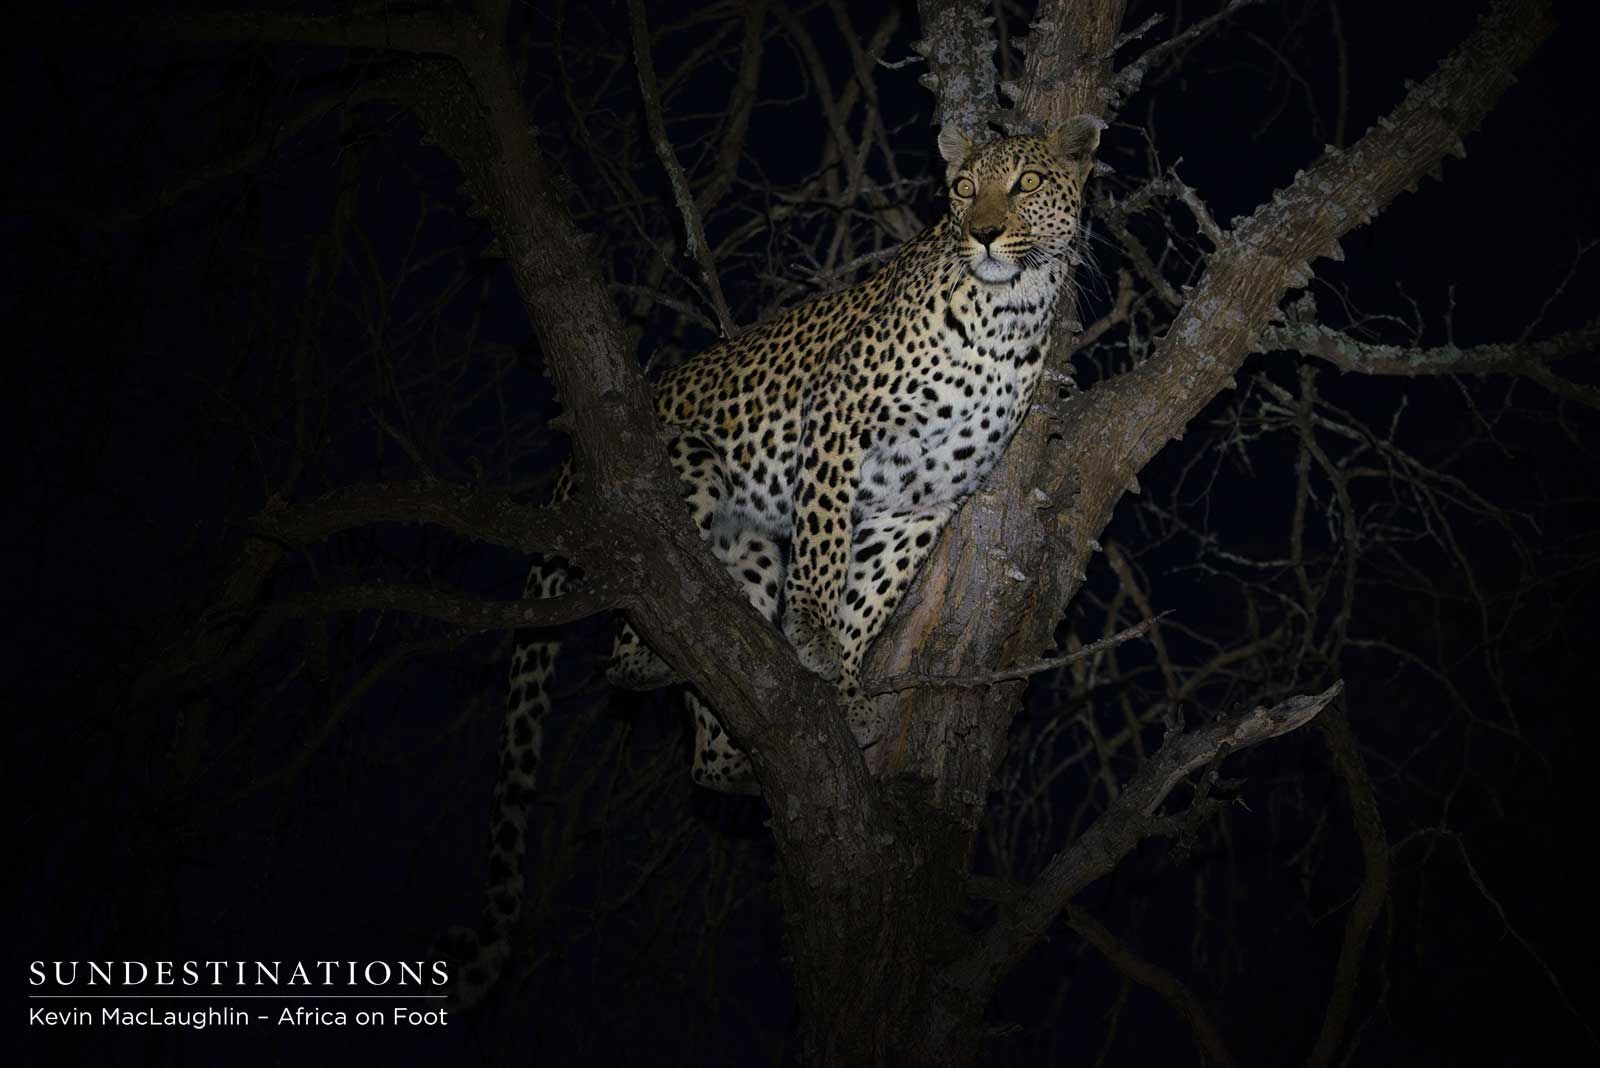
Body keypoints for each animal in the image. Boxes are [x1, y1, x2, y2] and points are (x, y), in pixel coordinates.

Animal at [444, 117, 1102, 1005]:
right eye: (964, 188)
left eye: (1026, 182)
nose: (985, 232)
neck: (1011, 314)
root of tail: (573, 472)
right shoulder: (839, 419)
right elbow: (823, 547)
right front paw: (817, 637)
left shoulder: (922, 504)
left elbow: (872, 594)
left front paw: (848, 685)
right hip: (680, 471)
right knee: (627, 640)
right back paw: (663, 655)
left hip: (749, 549)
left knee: (704, 754)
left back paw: (747, 754)